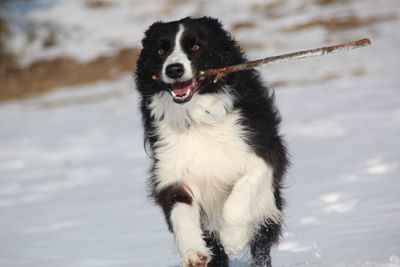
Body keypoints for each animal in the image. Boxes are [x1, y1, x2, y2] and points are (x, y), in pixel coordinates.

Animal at [136, 17, 290, 267]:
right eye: (160, 50)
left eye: (196, 46)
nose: (174, 69)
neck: (198, 118)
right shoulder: (170, 171)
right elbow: (180, 212)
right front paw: (193, 253)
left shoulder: (262, 153)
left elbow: (241, 193)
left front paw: (233, 238)